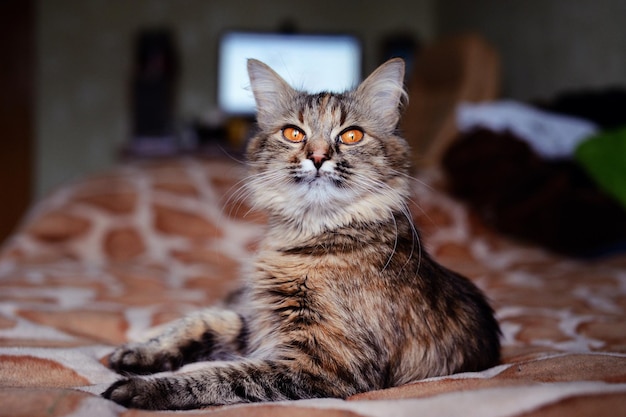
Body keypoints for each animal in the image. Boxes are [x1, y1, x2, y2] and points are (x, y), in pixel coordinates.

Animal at [103, 57, 502, 408]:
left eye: (351, 135)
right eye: (294, 134)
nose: (319, 156)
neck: (308, 235)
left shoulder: (326, 365)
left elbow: (222, 376)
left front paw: (142, 389)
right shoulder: (258, 322)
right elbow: (203, 322)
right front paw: (135, 353)